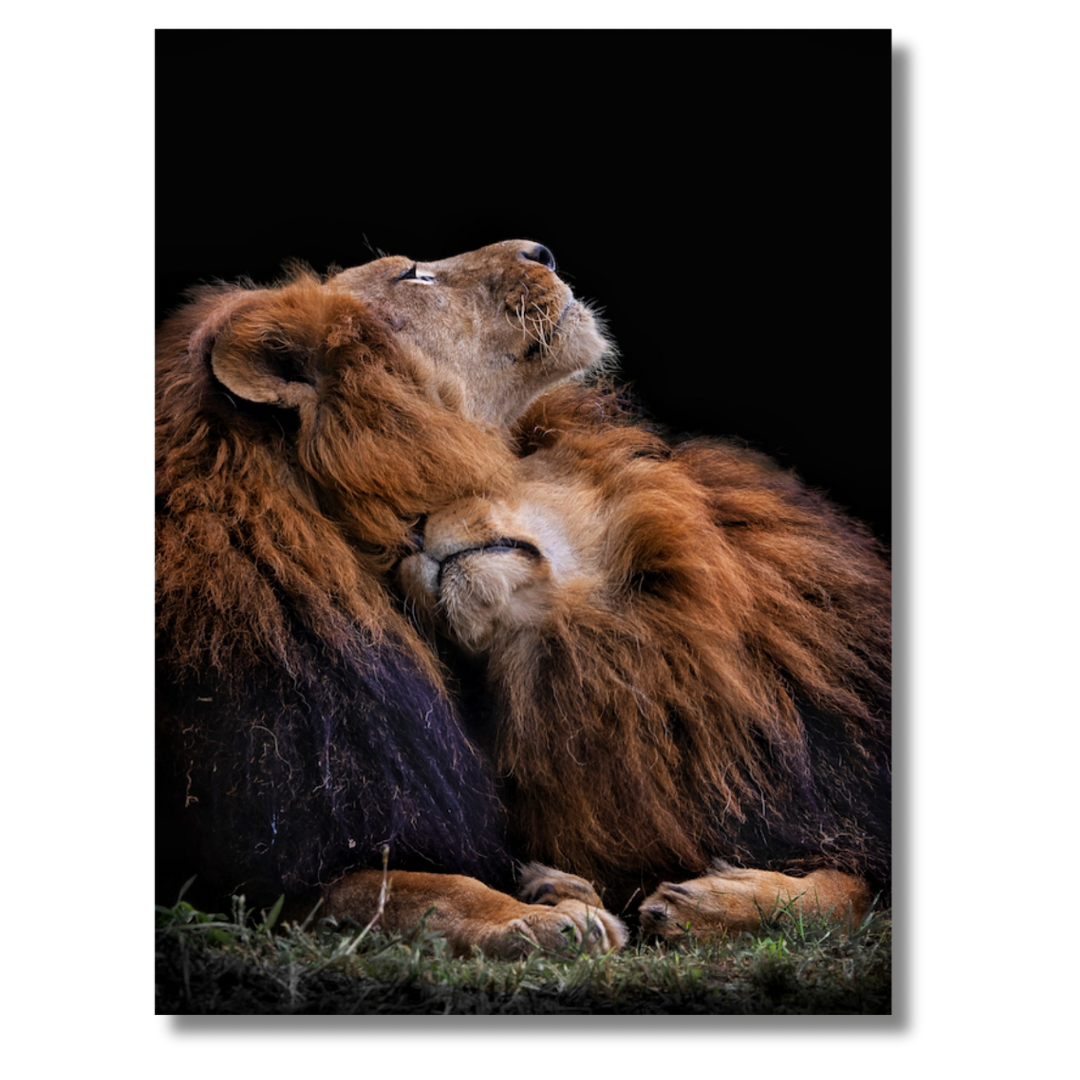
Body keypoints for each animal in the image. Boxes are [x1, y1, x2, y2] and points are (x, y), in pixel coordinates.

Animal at [156, 240, 628, 956]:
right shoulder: (260, 881)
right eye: (411, 275)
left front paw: (553, 886)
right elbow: (421, 889)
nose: (541, 251)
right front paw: (534, 918)